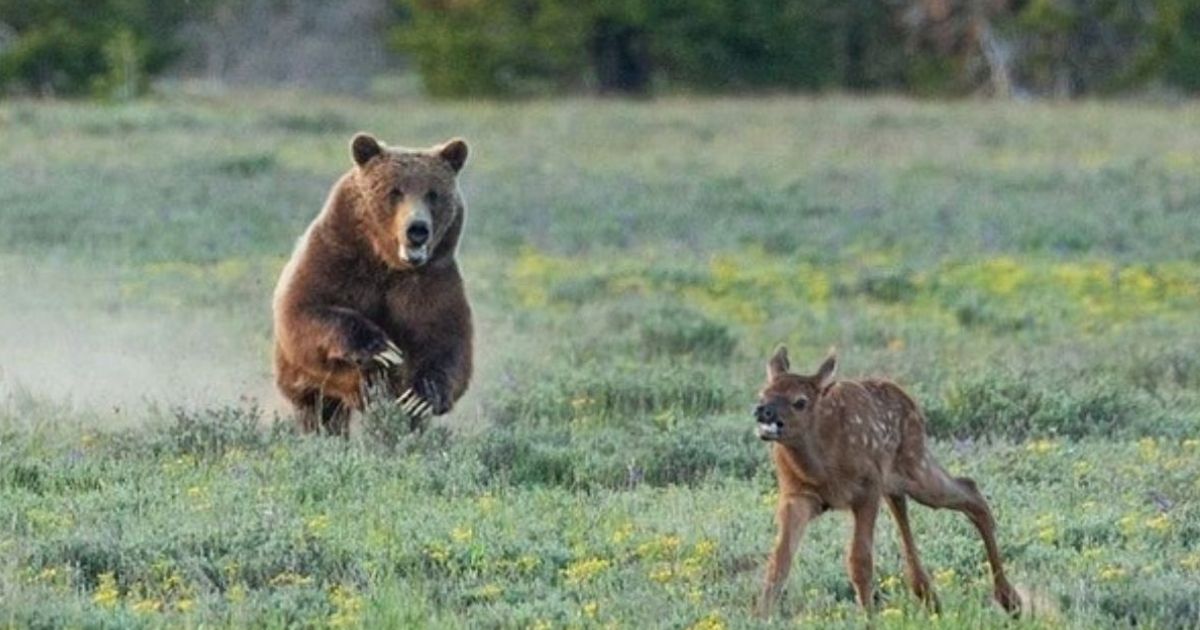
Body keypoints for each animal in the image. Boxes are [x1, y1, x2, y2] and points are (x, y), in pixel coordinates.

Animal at [271, 133, 473, 435]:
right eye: (395, 191)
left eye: (433, 193)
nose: (417, 229)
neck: (387, 263)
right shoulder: (335, 258)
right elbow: (303, 312)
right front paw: (381, 348)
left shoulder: (430, 280)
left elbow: (446, 338)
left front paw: (422, 396)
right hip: (303, 381)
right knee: (321, 412)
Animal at [753, 346, 1020, 617]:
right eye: (762, 394)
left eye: (800, 401)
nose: (763, 410)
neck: (820, 466)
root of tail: (912, 403)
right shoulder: (797, 495)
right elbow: (779, 560)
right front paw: (760, 616)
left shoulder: (867, 488)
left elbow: (860, 560)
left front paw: (869, 618)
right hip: (895, 479)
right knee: (912, 505)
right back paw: (931, 598)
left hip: (916, 466)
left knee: (969, 490)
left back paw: (1010, 600)